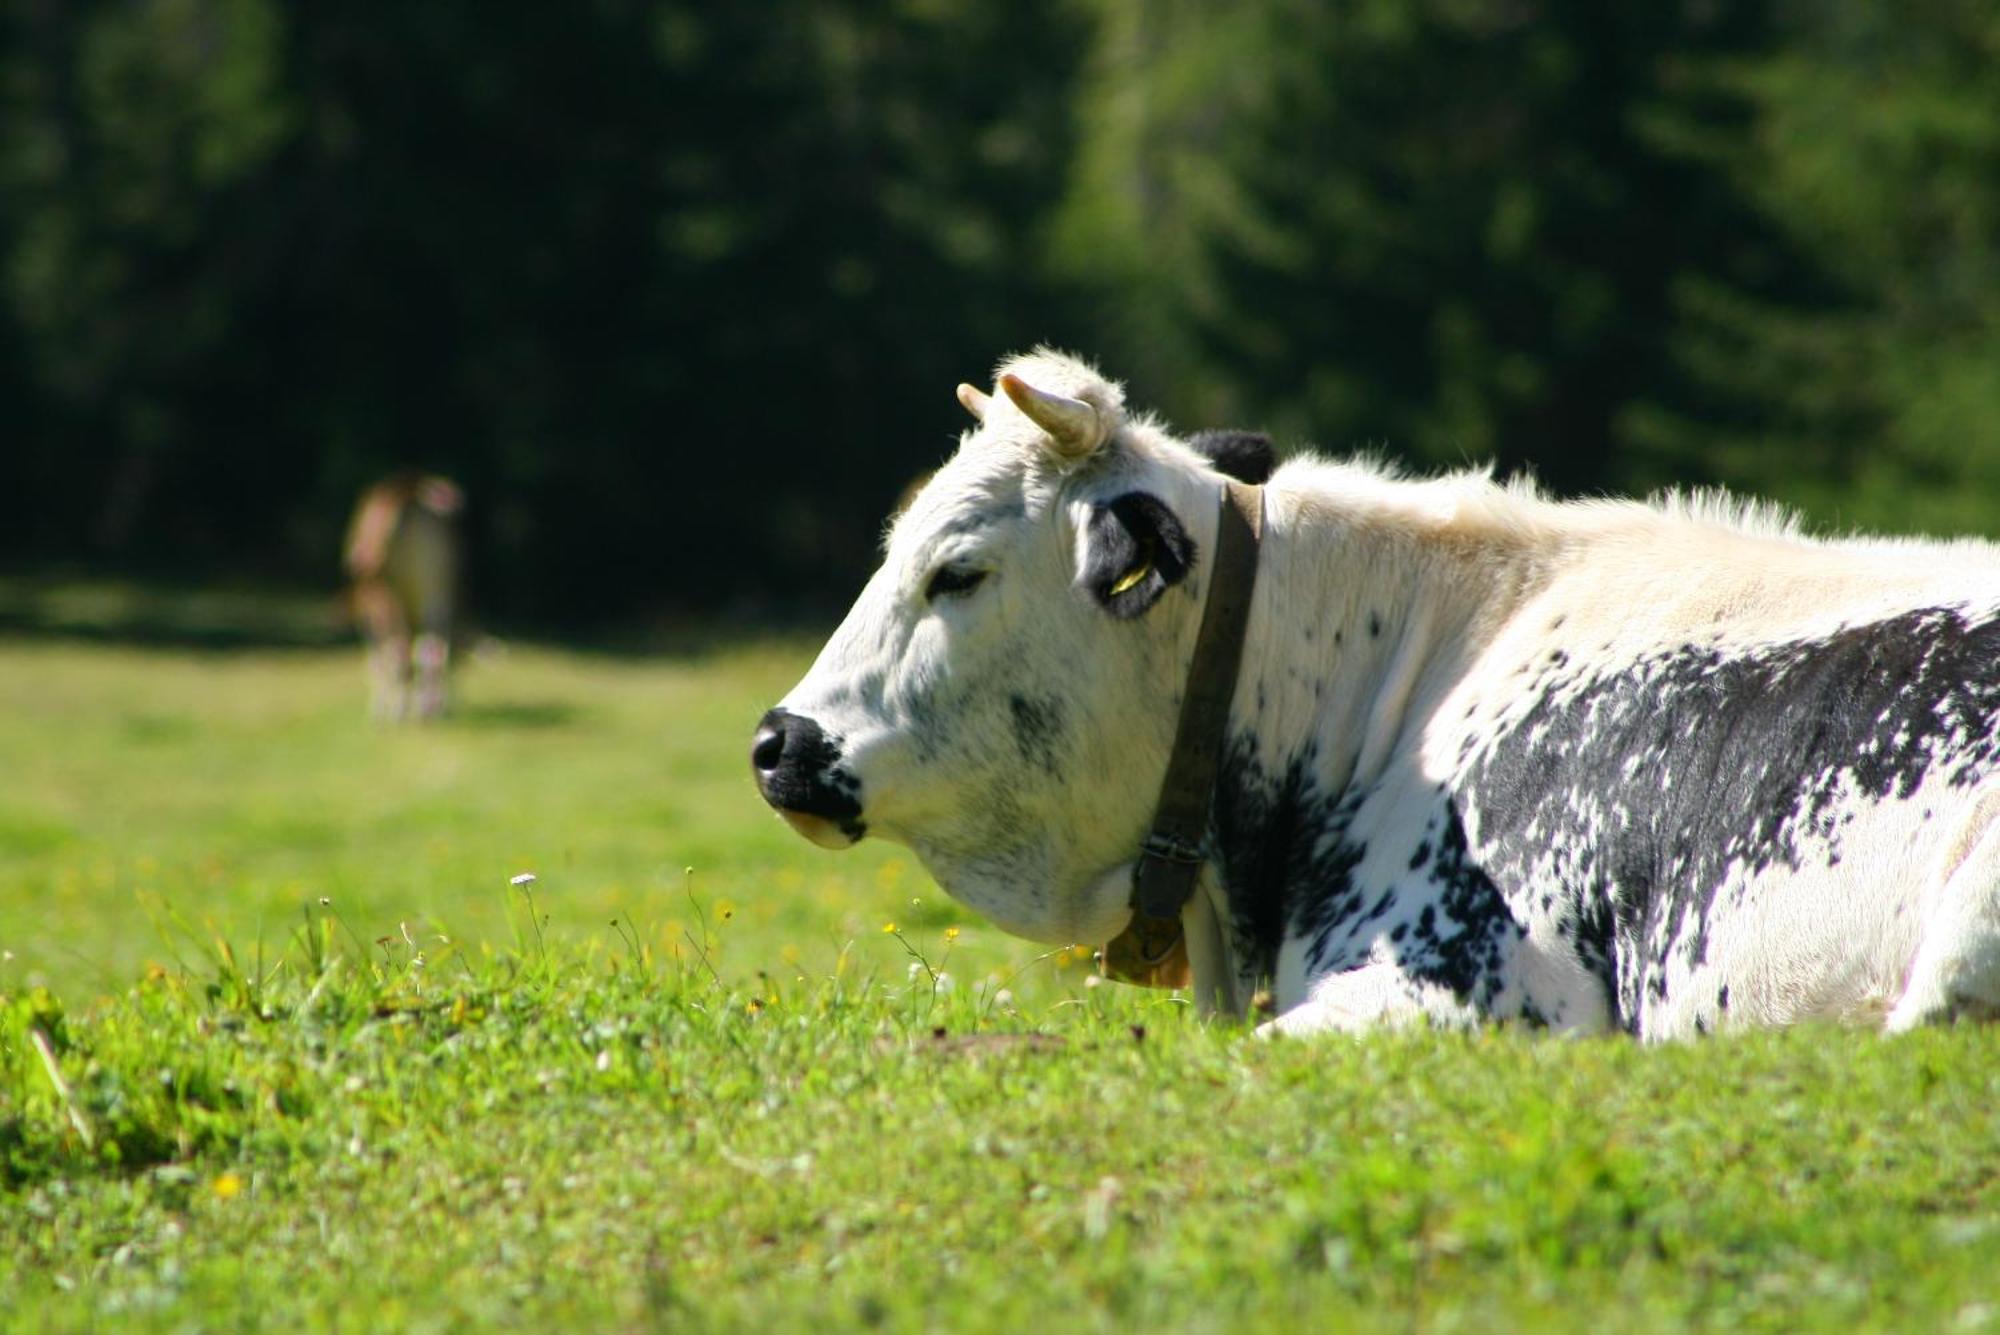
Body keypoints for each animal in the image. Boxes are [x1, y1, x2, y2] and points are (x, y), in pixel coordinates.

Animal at [348, 469, 468, 719]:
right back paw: (429, 709)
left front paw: (380, 708)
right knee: (434, 648)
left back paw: (402, 710)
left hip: (390, 595)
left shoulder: (370, 608)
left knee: (402, 649)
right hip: (435, 590)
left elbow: (380, 655)